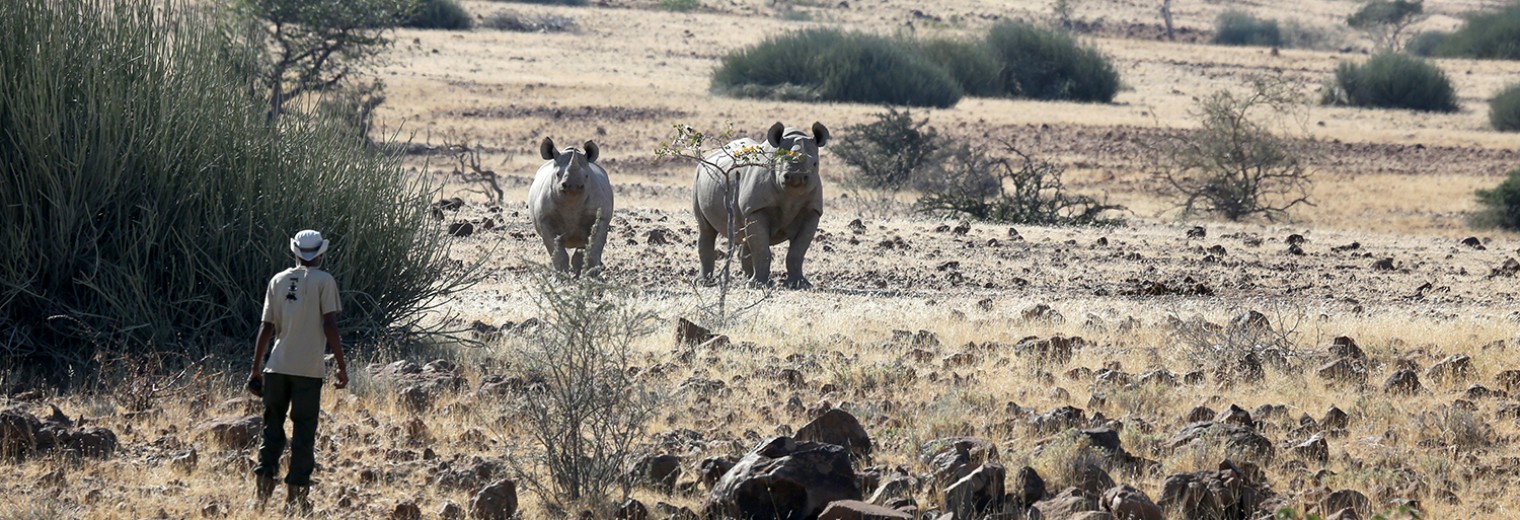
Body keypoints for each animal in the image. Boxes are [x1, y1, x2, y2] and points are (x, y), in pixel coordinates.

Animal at [528, 136, 611, 278]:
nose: (573, 186)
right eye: (557, 174)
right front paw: (560, 277)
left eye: (586, 176)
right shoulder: (545, 220)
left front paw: (591, 277)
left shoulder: (600, 218)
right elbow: (557, 252)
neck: (572, 203)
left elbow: (592, 248)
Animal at [696, 123, 832, 288]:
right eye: (778, 162)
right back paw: (706, 282)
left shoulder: (812, 211)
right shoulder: (756, 208)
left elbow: (797, 251)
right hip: (698, 175)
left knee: (744, 236)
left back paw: (749, 279)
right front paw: (758, 285)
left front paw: (800, 285)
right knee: (706, 229)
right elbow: (761, 249)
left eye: (815, 163)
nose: (796, 177)